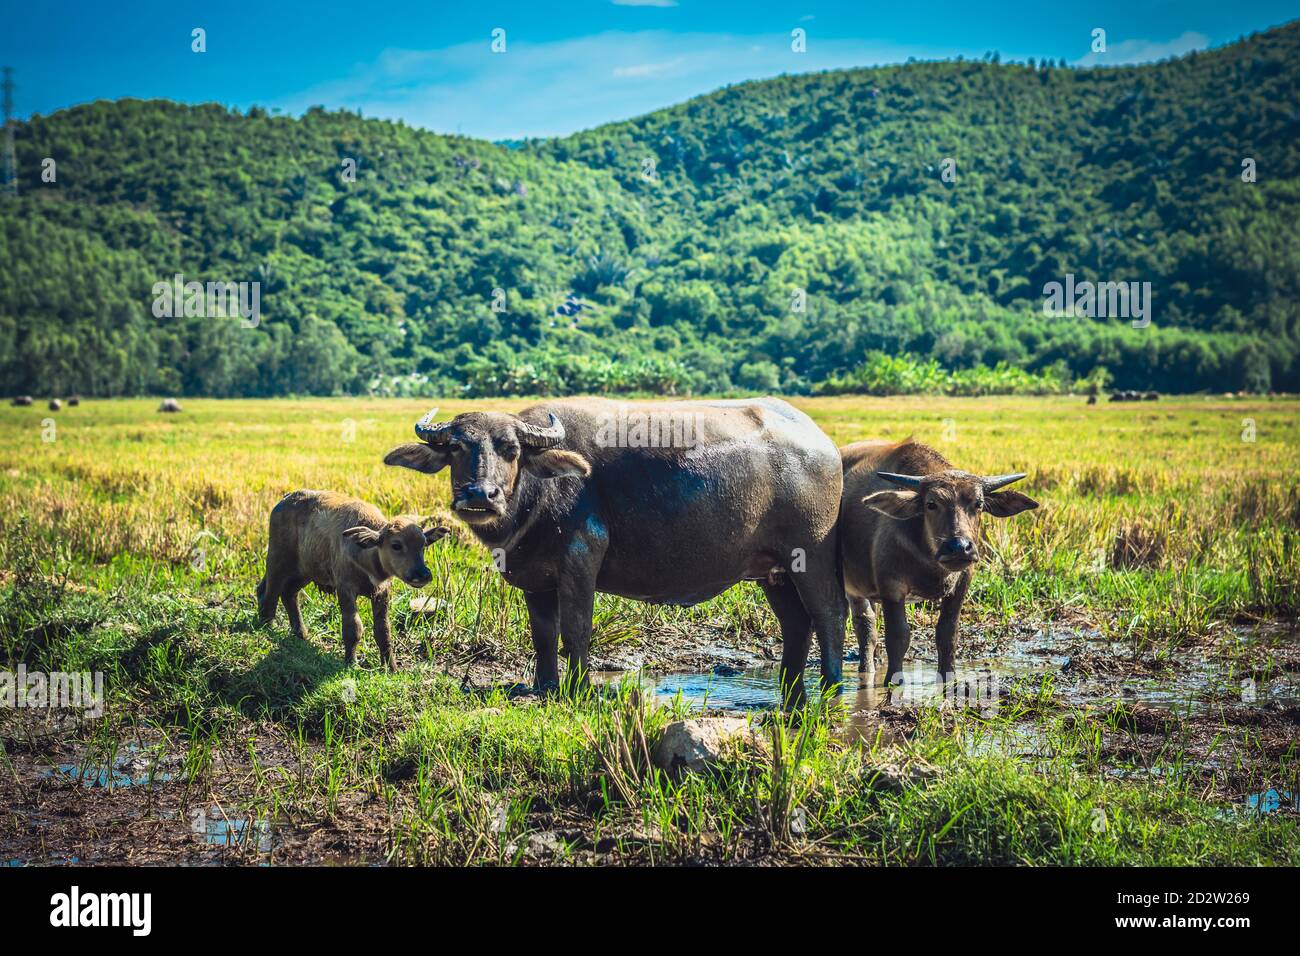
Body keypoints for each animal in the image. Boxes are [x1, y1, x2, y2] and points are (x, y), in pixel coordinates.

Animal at [257, 490, 449, 670]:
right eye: (396, 545)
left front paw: (391, 667)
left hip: (305, 571)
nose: (423, 574)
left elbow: (383, 630)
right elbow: (353, 627)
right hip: (277, 560)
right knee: (269, 592)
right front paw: (351, 662)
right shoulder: (345, 589)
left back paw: (301, 634)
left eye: (423, 545)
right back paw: (268, 627)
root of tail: (285, 499)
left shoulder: (382, 593)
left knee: (288, 594)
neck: (366, 556)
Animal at [385, 398, 847, 704]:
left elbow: (575, 630)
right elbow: (542, 634)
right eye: (456, 447)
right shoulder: (536, 581)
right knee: (795, 624)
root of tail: (823, 443)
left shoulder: (580, 560)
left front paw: (579, 689)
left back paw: (831, 687)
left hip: (812, 555)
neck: (537, 494)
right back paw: (790, 689)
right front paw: (545, 686)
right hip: (774, 571)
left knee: (828, 615)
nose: (481, 494)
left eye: (511, 450)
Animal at [840, 439, 1039, 683]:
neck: (930, 561)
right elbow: (898, 637)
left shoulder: (962, 584)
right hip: (851, 587)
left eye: (978, 504)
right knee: (865, 626)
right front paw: (893, 681)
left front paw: (949, 677)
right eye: (931, 504)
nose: (959, 547)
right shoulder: (891, 588)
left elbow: (947, 634)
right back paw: (866, 669)